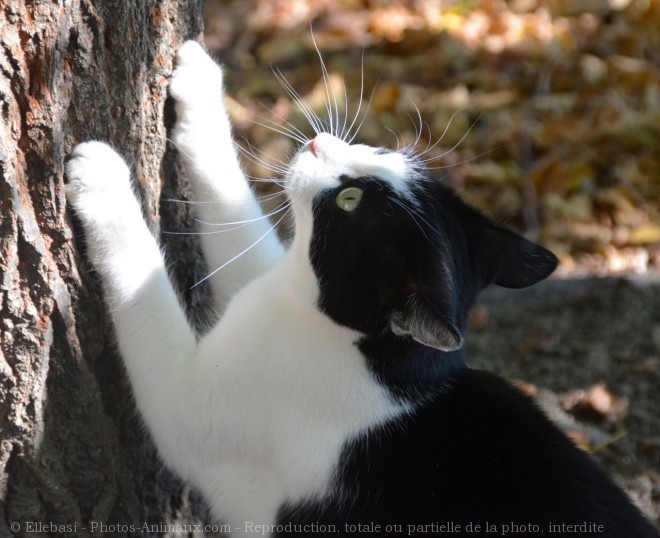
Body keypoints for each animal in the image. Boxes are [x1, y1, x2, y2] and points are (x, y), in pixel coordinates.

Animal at [64, 39, 656, 532]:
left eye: (350, 203)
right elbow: (234, 211)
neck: (384, 360)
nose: (319, 146)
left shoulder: (195, 408)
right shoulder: (278, 285)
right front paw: (199, 82)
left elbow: (146, 291)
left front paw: (102, 180)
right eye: (386, 154)